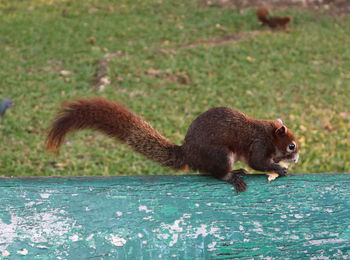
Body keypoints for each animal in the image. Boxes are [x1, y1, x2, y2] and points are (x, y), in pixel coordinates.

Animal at [45, 98, 300, 192]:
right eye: (291, 146)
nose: (297, 158)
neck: (268, 133)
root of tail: (188, 153)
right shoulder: (258, 145)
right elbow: (258, 162)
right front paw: (278, 168)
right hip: (220, 155)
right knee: (217, 172)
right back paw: (231, 176)